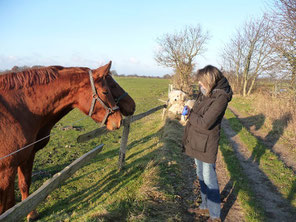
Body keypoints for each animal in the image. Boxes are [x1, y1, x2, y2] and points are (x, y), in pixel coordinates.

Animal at [0, 61, 135, 219]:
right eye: (106, 91)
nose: (118, 119)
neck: (16, 112)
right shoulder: (6, 169)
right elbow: (5, 205)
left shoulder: (26, 156)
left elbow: (23, 185)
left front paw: (31, 214)